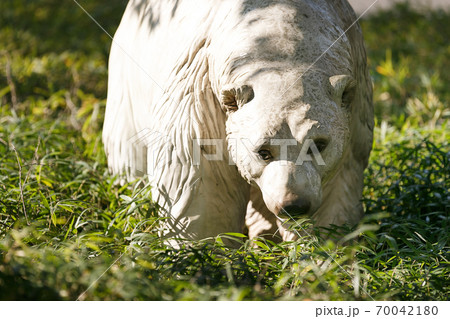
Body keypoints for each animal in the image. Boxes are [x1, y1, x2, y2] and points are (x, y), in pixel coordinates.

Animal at [103, 0, 374, 242]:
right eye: (263, 151)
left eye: (318, 145)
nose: (293, 205)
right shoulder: (200, 93)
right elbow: (202, 182)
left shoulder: (356, 99)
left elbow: (336, 189)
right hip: (124, 83)